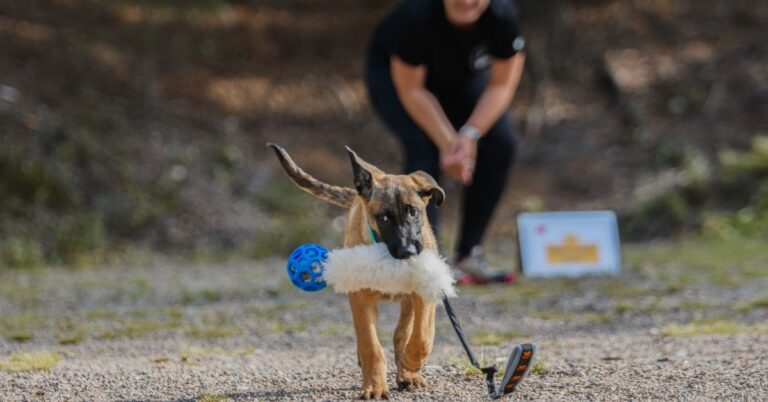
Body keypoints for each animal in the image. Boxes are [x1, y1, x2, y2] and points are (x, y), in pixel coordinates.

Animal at [270, 144, 448, 398]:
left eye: (413, 212)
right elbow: (370, 345)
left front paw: (411, 363)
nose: (408, 251)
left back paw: (407, 373)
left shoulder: (424, 293)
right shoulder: (360, 298)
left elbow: (421, 336)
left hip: (408, 300)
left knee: (402, 332)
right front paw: (374, 386)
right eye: (384, 217)